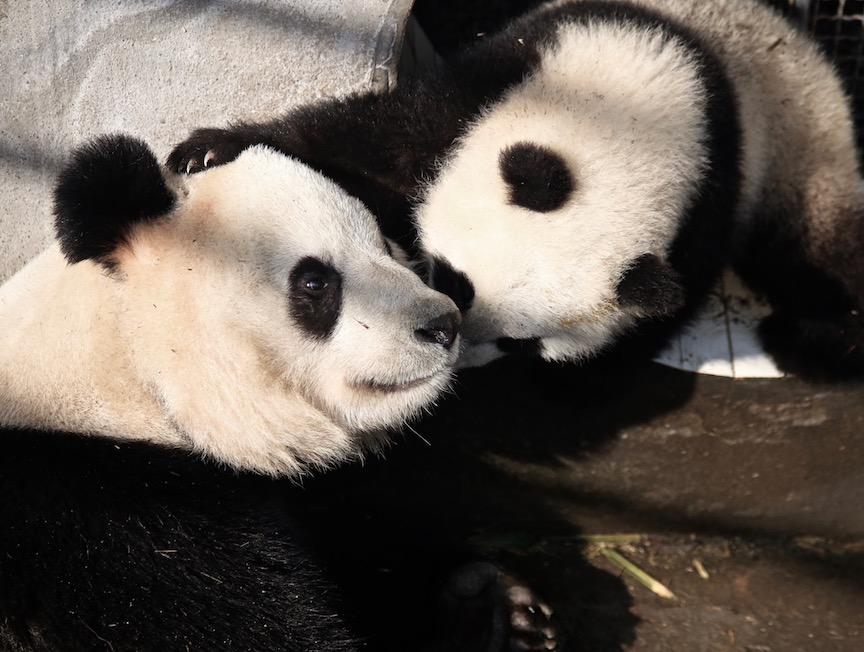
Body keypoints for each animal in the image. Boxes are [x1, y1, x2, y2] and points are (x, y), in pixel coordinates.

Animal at [167, 0, 864, 380]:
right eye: (452, 280)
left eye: (521, 344)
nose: (454, 350)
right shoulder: (505, 74)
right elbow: (375, 144)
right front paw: (210, 150)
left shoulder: (709, 205)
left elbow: (660, 312)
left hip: (804, 148)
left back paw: (809, 337)